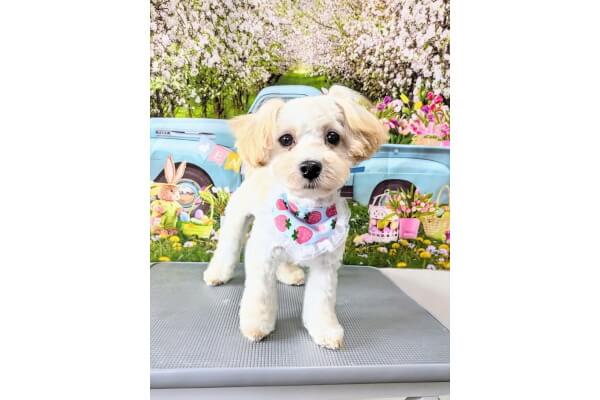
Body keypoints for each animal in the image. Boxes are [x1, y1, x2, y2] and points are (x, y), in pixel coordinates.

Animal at [203, 85, 388, 349]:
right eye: (286, 139)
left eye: (333, 137)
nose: (310, 167)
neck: (307, 212)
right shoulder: (261, 254)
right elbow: (260, 294)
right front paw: (257, 325)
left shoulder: (326, 264)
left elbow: (321, 300)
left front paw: (324, 329)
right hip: (238, 217)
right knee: (227, 247)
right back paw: (217, 274)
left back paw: (289, 273)